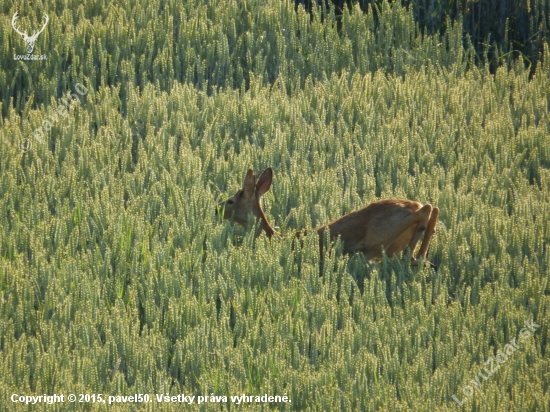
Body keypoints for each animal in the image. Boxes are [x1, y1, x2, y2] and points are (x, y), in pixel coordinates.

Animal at [218, 167, 442, 268]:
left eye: (230, 201)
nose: (217, 210)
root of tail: (413, 205)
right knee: (432, 209)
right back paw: (422, 258)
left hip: (381, 235)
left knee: (425, 210)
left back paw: (414, 257)